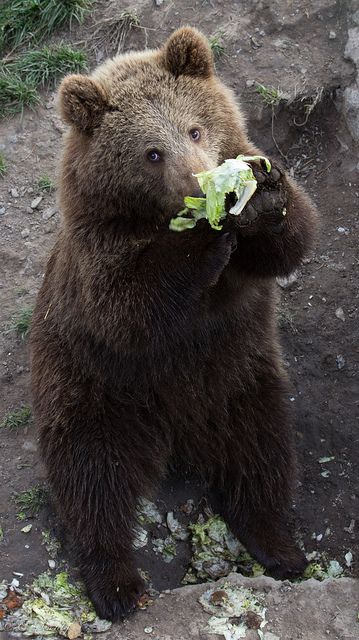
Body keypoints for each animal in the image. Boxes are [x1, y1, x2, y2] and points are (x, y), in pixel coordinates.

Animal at [31, 27, 318, 624]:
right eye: (151, 152)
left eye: (195, 127)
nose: (197, 176)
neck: (152, 218)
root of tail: (175, 429)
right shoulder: (100, 258)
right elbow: (130, 306)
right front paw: (203, 227)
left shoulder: (236, 288)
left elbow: (287, 242)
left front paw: (258, 191)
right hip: (93, 388)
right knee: (91, 479)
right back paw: (118, 584)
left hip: (237, 377)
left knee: (260, 451)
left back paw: (277, 544)